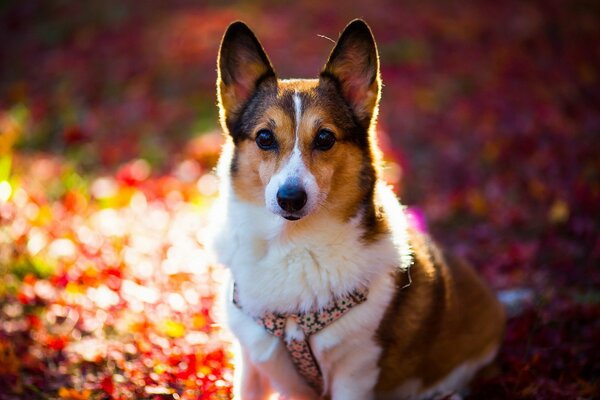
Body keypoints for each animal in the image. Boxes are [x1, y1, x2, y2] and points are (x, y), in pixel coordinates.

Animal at [212, 18, 506, 400]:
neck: (293, 246)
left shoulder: (355, 372)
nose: (290, 198)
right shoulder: (251, 364)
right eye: (264, 138)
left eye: (325, 138)